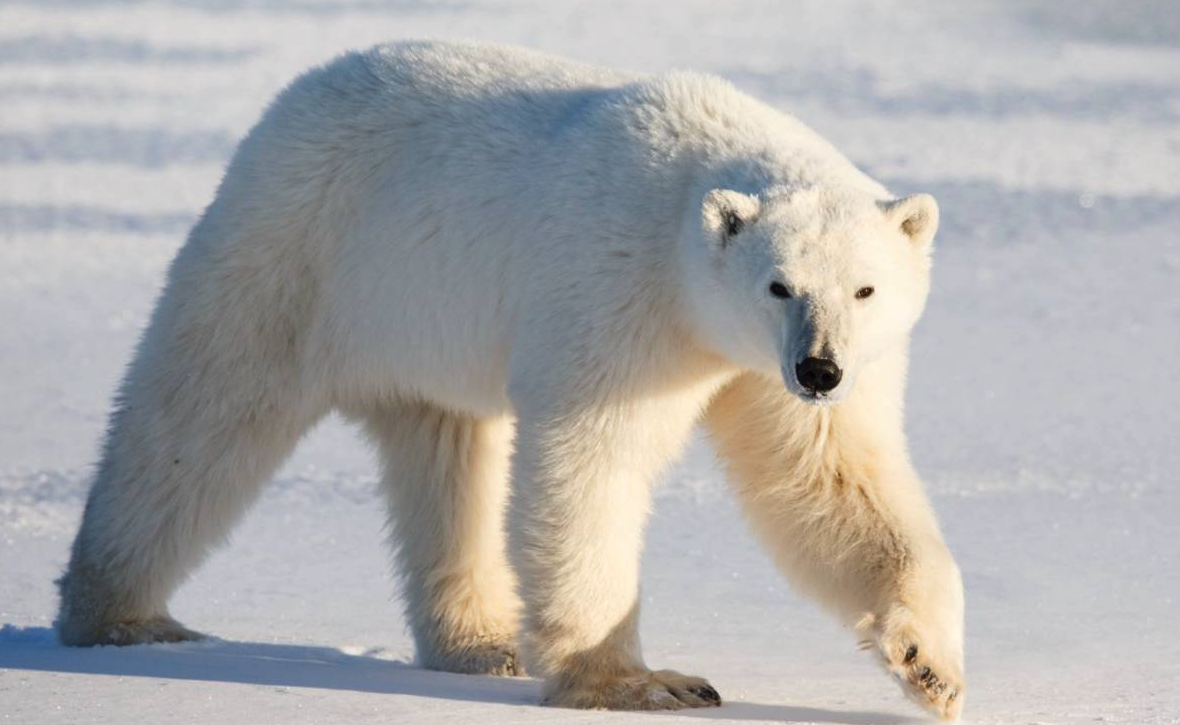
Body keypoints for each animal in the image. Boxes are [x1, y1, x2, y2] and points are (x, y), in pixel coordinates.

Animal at [55, 41, 962, 722]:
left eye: (865, 288)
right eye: (779, 283)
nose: (819, 367)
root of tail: (297, 93)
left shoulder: (768, 366)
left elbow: (830, 480)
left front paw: (930, 665)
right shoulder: (618, 292)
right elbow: (590, 465)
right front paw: (645, 682)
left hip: (421, 331)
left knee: (448, 458)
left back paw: (480, 641)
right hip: (296, 249)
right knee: (201, 414)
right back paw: (120, 614)